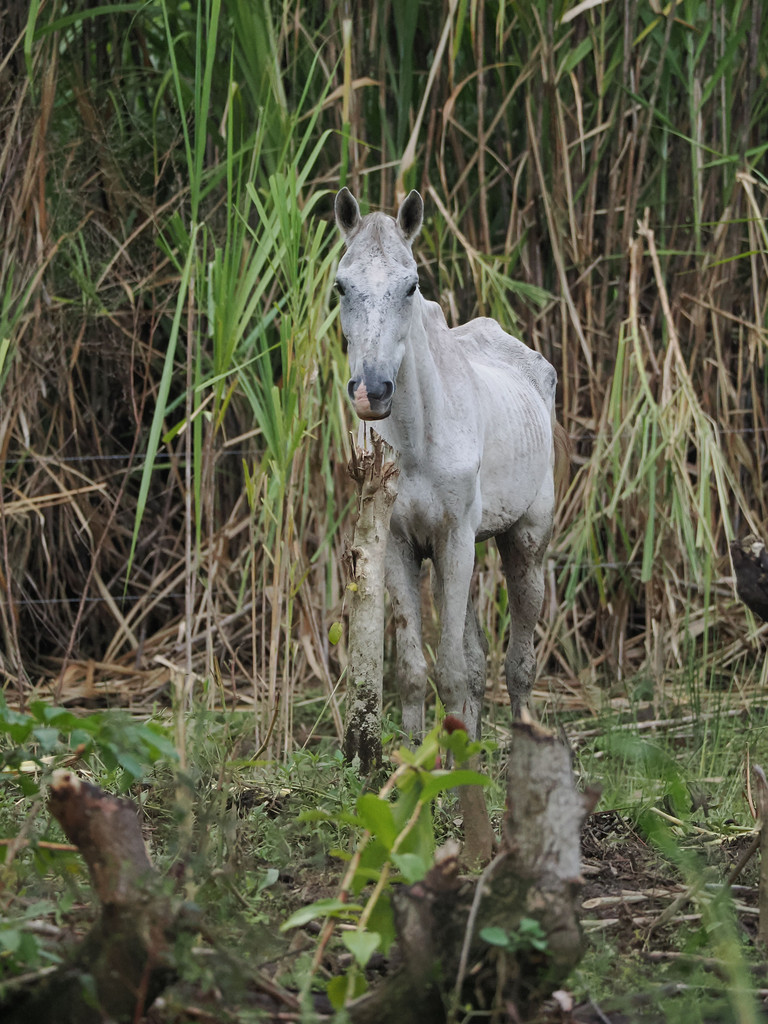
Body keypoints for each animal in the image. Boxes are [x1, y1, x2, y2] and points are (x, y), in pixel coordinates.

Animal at [333, 188, 557, 741]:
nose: (372, 391)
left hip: (525, 544)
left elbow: (452, 672)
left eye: (411, 285)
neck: (418, 443)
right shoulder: (400, 546)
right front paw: (416, 762)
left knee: (519, 666)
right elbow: (417, 672)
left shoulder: (453, 542)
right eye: (341, 286)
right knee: (479, 665)